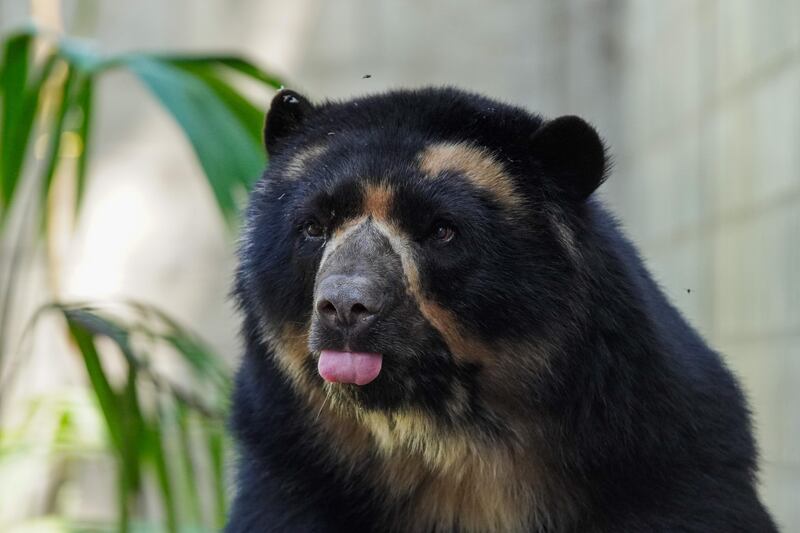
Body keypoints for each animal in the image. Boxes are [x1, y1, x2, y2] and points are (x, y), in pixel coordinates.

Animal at [228, 87, 780, 532]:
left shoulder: (668, 460)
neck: (451, 440)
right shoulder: (289, 473)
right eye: (313, 227)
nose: (345, 306)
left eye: (442, 230)